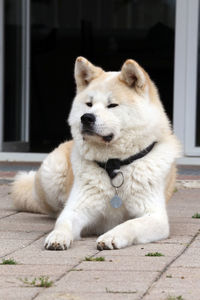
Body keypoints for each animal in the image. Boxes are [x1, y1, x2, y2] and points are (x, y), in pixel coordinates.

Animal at [10, 57, 180, 250]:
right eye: (89, 104)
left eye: (112, 105)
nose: (86, 117)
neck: (115, 165)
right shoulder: (77, 208)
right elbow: (63, 222)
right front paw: (58, 236)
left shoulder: (155, 217)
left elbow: (130, 224)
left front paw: (112, 236)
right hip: (52, 172)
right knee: (53, 211)